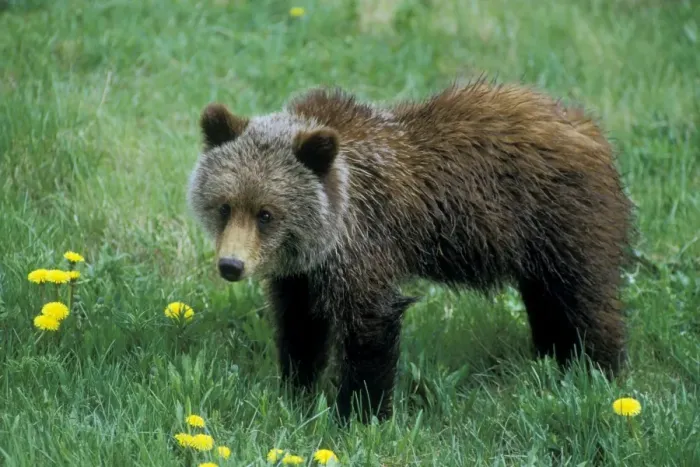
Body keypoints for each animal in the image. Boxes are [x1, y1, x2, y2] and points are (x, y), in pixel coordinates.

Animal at [186, 79, 634, 424]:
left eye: (266, 213)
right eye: (225, 206)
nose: (231, 265)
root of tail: (590, 128)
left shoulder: (365, 242)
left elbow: (370, 327)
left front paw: (359, 414)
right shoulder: (303, 273)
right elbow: (300, 326)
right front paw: (297, 392)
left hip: (564, 221)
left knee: (584, 300)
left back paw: (597, 374)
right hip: (535, 248)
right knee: (547, 302)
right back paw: (551, 357)